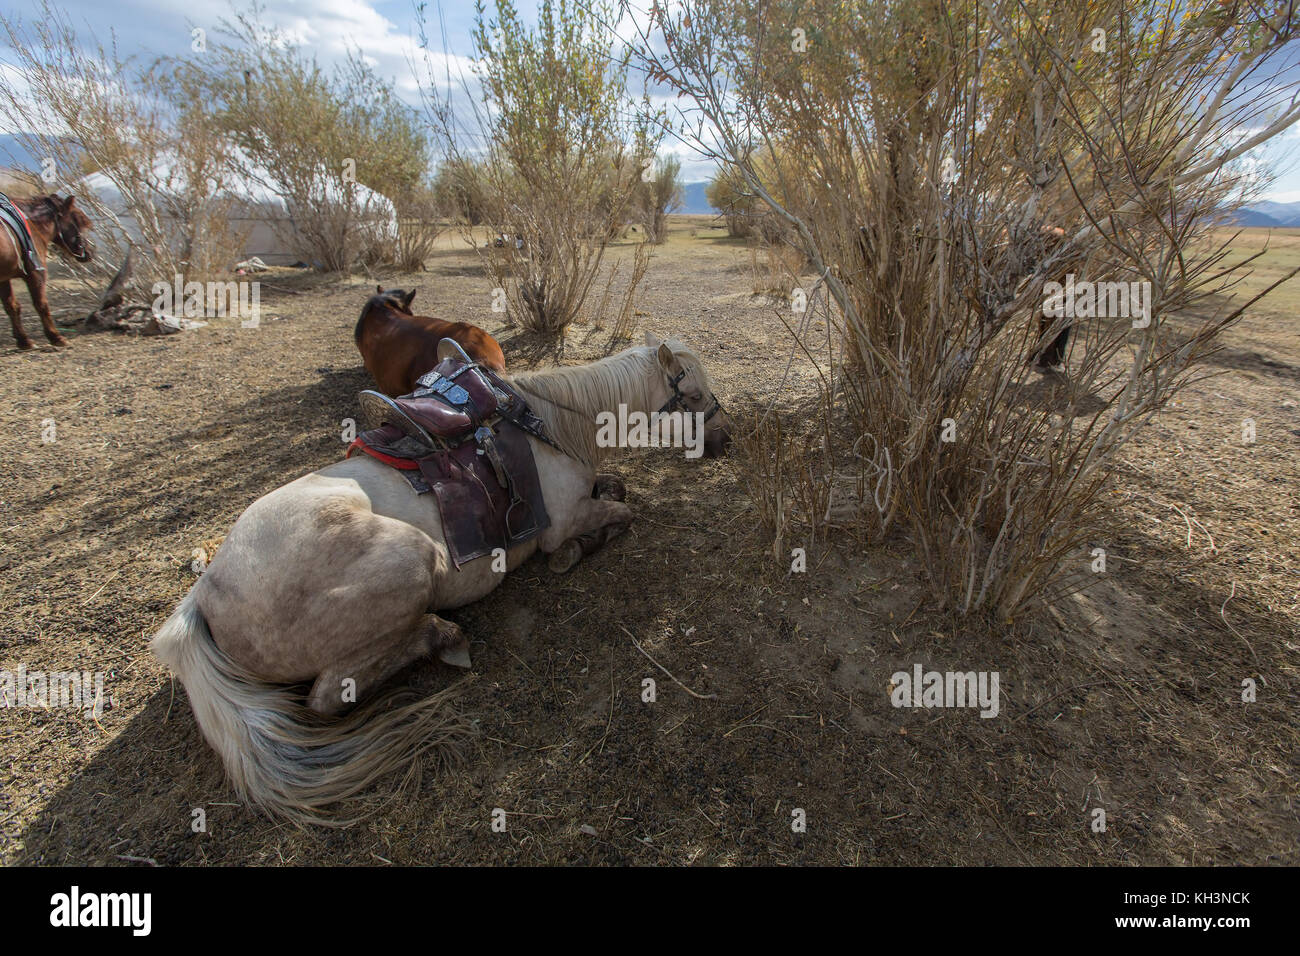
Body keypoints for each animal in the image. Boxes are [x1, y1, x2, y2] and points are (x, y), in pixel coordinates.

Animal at [0, 194, 93, 349]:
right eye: (78, 222)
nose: (89, 252)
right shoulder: (36, 274)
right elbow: (41, 304)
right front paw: (56, 337)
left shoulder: (4, 279)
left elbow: (12, 306)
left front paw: (24, 341)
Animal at [150, 334, 732, 823]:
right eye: (693, 394)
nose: (727, 439)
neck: (552, 428)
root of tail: (207, 592)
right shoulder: (563, 521)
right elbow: (619, 515)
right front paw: (576, 552)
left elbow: (618, 489)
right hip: (412, 563)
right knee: (326, 697)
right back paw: (441, 636)